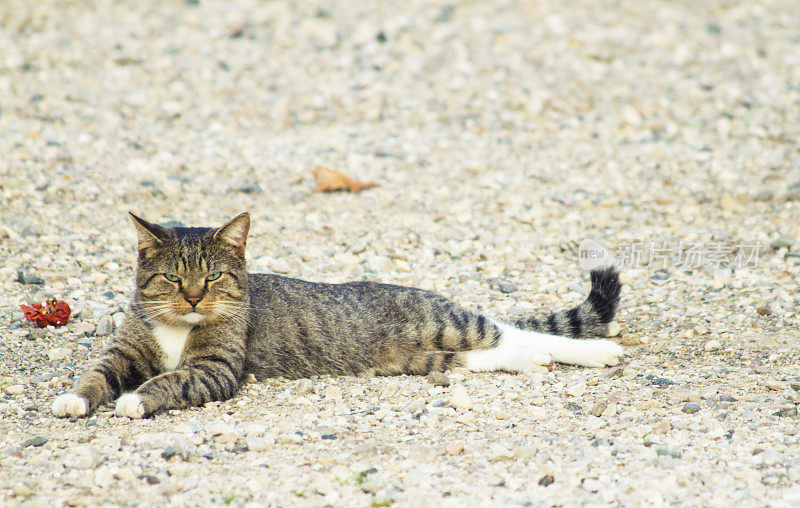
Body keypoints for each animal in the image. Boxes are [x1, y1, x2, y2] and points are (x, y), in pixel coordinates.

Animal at [51, 212, 624, 418]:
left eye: (212, 278)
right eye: (172, 279)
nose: (193, 298)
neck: (178, 328)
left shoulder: (215, 370)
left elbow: (168, 381)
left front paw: (136, 400)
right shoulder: (126, 349)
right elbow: (98, 373)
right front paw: (76, 400)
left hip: (448, 322)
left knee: (512, 331)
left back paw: (597, 351)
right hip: (424, 359)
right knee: (491, 353)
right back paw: (535, 362)